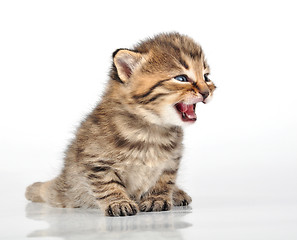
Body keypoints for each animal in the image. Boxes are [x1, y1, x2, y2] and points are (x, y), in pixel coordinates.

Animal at [25, 32, 215, 217]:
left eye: (206, 77)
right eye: (181, 78)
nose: (206, 92)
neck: (151, 130)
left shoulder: (171, 162)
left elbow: (164, 181)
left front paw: (157, 198)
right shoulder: (96, 161)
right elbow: (108, 184)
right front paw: (118, 203)